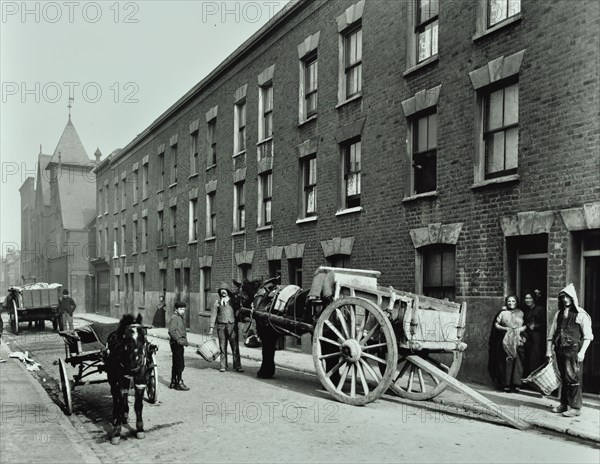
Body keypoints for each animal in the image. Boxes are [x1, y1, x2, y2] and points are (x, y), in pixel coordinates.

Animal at [105, 314, 155, 444]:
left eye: (144, 336)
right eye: (125, 337)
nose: (136, 360)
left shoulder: (141, 381)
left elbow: (138, 405)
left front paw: (140, 429)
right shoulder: (121, 380)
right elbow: (120, 403)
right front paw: (116, 432)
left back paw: (125, 415)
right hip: (112, 378)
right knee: (115, 394)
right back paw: (116, 415)